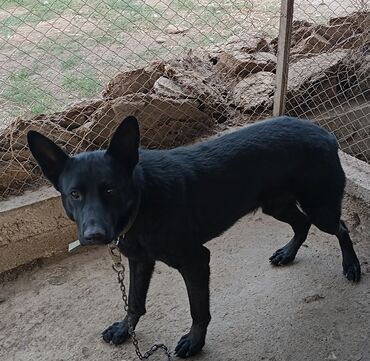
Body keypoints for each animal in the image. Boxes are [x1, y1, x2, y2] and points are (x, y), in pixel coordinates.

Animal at [27, 116, 360, 358]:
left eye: (110, 189)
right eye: (75, 194)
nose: (94, 235)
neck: (143, 201)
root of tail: (325, 133)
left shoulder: (196, 261)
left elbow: (198, 310)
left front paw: (195, 342)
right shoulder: (140, 261)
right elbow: (134, 301)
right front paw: (124, 329)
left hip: (321, 209)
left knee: (341, 228)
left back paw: (352, 266)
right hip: (275, 204)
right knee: (301, 224)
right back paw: (288, 253)